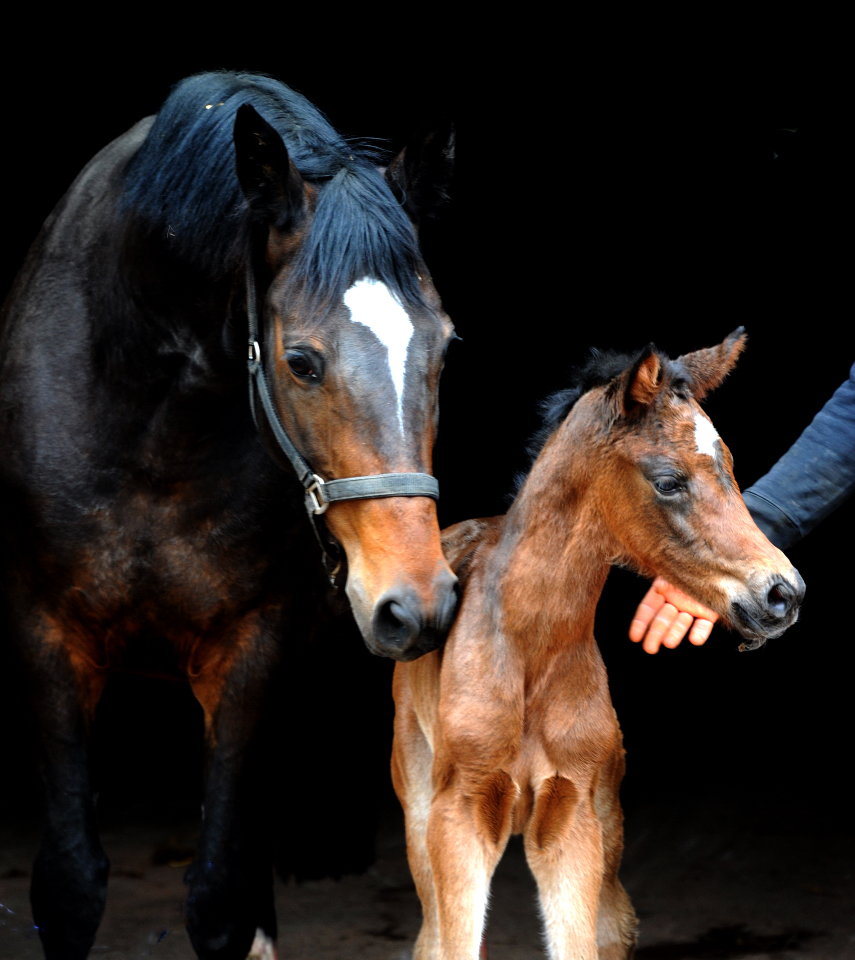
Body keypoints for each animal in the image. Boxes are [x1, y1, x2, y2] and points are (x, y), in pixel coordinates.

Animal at [392, 326, 804, 956]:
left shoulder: (573, 820)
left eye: (731, 466)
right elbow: (453, 942)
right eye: (667, 481)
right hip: (417, 805)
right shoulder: (458, 818)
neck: (529, 653)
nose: (784, 593)